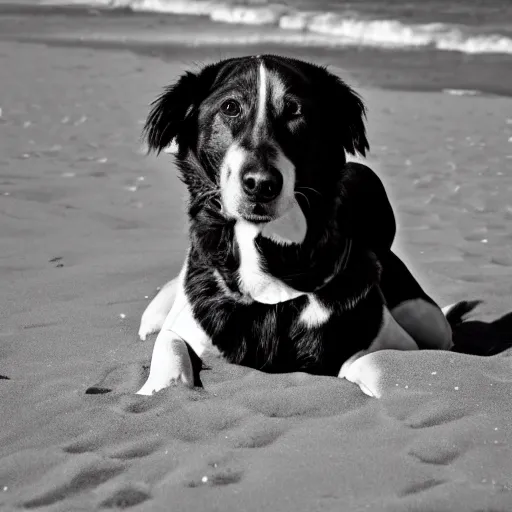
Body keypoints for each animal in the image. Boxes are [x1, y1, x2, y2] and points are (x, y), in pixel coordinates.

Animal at [134, 55, 454, 396]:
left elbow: (378, 361)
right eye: (230, 107)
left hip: (427, 318)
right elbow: (169, 355)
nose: (261, 185)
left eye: (295, 111)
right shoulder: (184, 327)